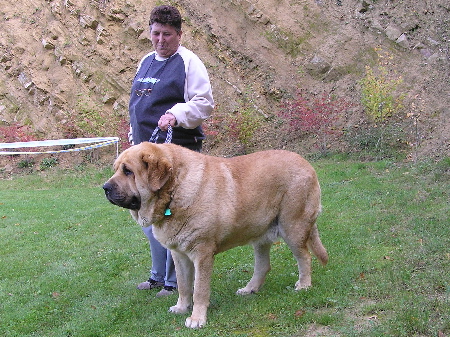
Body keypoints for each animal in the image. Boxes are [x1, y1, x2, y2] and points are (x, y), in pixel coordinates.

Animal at [103, 141, 326, 326]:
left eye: (128, 171)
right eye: (116, 169)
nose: (105, 187)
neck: (174, 190)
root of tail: (306, 163)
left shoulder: (202, 253)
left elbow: (199, 290)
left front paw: (196, 318)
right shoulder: (179, 254)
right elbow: (184, 285)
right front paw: (181, 308)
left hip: (293, 227)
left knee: (304, 257)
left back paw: (304, 285)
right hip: (260, 233)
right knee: (263, 266)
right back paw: (249, 289)